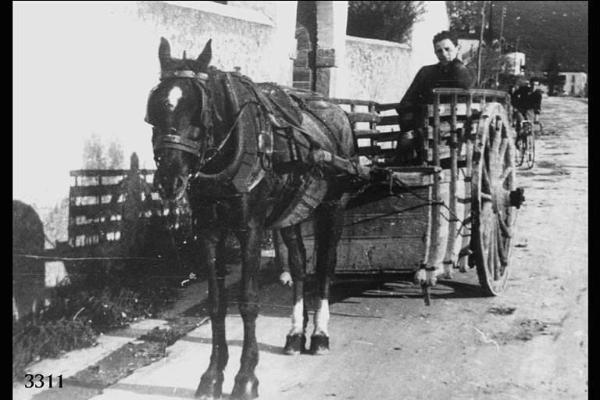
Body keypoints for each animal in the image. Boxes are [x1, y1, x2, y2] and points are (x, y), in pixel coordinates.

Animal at [146, 36, 360, 398]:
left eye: (199, 110)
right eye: (156, 108)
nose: (169, 179)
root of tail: (336, 111)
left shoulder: (251, 230)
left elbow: (248, 302)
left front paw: (246, 377)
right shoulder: (209, 231)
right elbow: (216, 303)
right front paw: (212, 375)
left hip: (333, 208)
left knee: (325, 268)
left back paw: (319, 335)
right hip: (291, 215)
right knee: (300, 266)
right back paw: (295, 335)